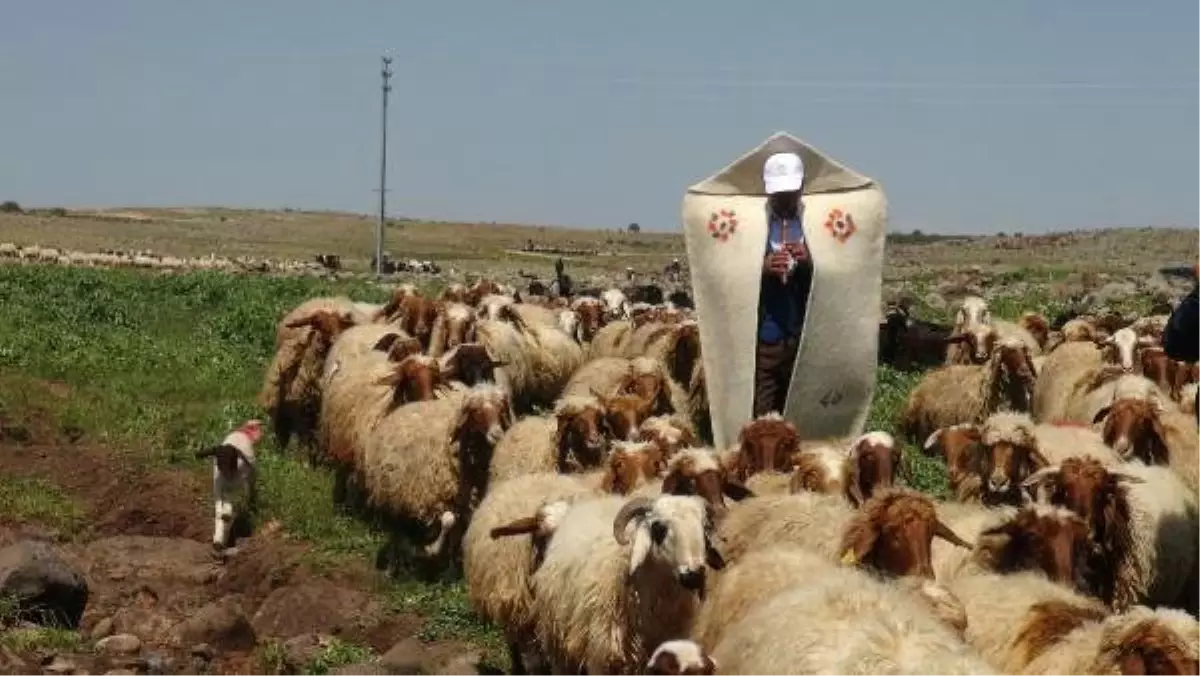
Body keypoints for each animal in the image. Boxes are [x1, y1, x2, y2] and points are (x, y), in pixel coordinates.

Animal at [194, 420, 262, 552]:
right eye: (218, 459)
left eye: (232, 458)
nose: (227, 473)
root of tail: (241, 431)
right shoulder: (218, 487)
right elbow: (220, 512)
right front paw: (218, 540)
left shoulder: (238, 486)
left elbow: (229, 510)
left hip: (250, 477)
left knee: (250, 491)